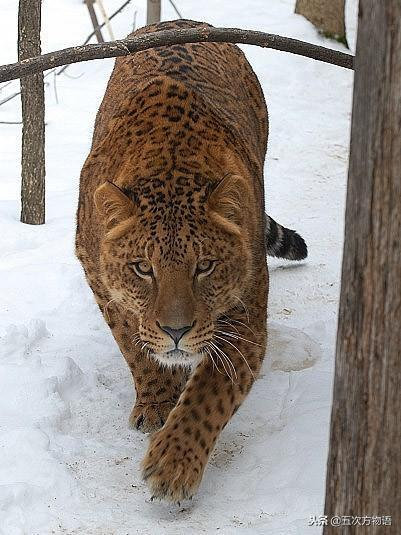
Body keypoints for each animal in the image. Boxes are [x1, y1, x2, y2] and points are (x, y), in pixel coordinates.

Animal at [76, 17, 306, 502]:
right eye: (143, 269)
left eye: (205, 267)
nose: (177, 331)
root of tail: (182, 21)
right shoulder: (98, 275)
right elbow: (134, 343)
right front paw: (159, 402)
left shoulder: (244, 315)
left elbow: (211, 393)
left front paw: (173, 464)